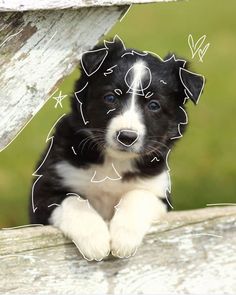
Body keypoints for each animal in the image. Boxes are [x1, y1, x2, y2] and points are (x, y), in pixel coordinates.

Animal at [29, 36, 204, 262]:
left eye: (154, 105)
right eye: (110, 98)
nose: (127, 137)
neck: (114, 162)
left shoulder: (159, 192)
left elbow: (138, 196)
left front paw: (123, 239)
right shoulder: (44, 190)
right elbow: (74, 201)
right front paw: (95, 240)